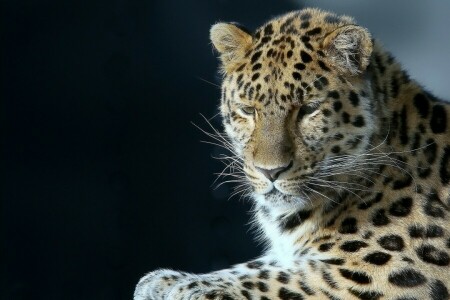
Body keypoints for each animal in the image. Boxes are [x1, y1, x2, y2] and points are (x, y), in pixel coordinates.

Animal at [134, 8, 450, 298]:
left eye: (308, 109)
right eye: (248, 110)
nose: (270, 171)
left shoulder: (385, 272)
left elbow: (276, 278)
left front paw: (187, 286)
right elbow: (259, 265)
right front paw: (162, 280)